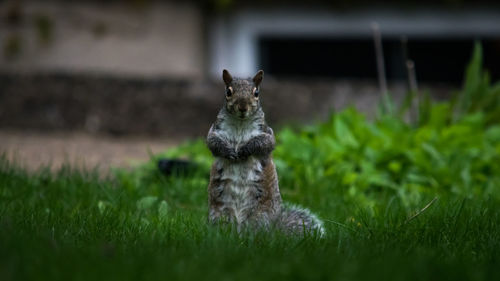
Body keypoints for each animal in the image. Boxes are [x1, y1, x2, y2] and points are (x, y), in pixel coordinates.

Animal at [206, 69, 326, 235]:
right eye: (228, 92)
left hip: (261, 216)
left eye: (256, 93)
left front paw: (245, 149)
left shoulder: (266, 132)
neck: (240, 124)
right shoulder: (215, 130)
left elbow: (264, 143)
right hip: (218, 213)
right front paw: (228, 151)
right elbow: (213, 142)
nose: (242, 107)